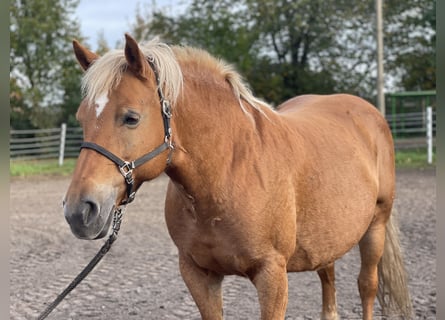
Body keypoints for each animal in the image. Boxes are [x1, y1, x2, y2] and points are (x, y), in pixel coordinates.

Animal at [63, 33, 412, 318]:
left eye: (131, 117)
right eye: (81, 118)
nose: (79, 211)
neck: (227, 173)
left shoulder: (272, 277)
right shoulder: (198, 274)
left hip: (376, 226)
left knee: (366, 285)